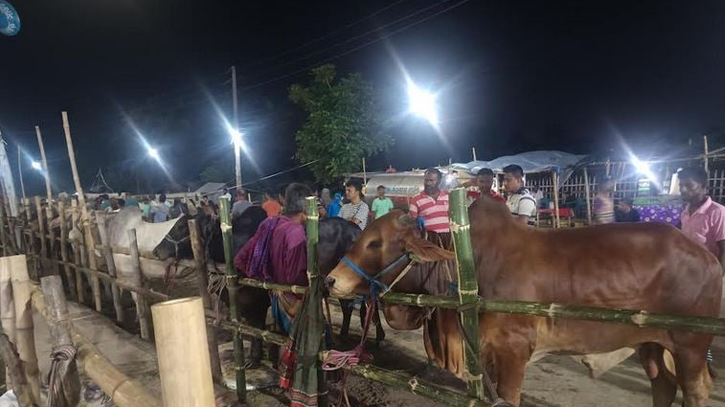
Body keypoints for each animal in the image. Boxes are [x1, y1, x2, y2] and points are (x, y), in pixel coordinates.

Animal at [328, 196, 724, 406]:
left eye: (375, 243)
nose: (332, 279)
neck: (463, 265)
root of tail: (707, 255)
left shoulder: (514, 351)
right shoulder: (486, 354)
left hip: (689, 345)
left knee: (694, 390)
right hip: (651, 344)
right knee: (663, 384)